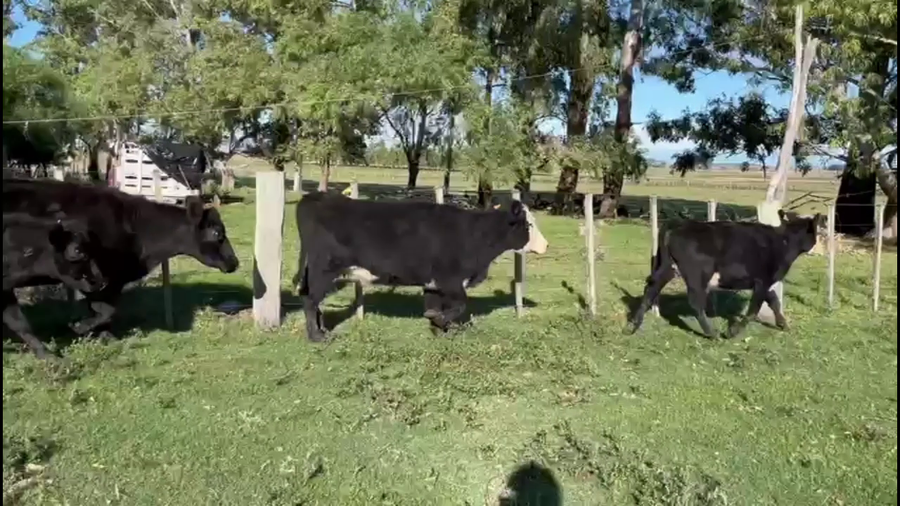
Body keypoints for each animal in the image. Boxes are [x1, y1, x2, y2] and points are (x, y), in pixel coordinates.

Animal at [2, 177, 240, 340]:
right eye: (217, 233)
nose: (234, 262)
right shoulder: (101, 277)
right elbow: (105, 310)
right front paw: (83, 328)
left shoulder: (111, 280)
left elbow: (105, 309)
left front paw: (101, 335)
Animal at [292, 192, 549, 341]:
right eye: (528, 224)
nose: (546, 245)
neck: (474, 234)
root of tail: (315, 197)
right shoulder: (450, 280)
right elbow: (459, 305)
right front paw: (440, 321)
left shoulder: (433, 282)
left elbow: (435, 305)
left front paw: (438, 329)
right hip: (323, 270)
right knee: (310, 301)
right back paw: (317, 337)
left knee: (312, 301)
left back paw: (321, 331)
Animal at [625, 211, 824, 339]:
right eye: (818, 231)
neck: (783, 241)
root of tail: (680, 223)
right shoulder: (762, 281)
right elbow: (753, 310)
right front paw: (732, 332)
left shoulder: (764, 282)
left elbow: (774, 301)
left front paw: (784, 325)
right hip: (698, 274)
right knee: (695, 302)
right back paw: (712, 334)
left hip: (668, 267)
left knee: (651, 288)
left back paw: (633, 325)